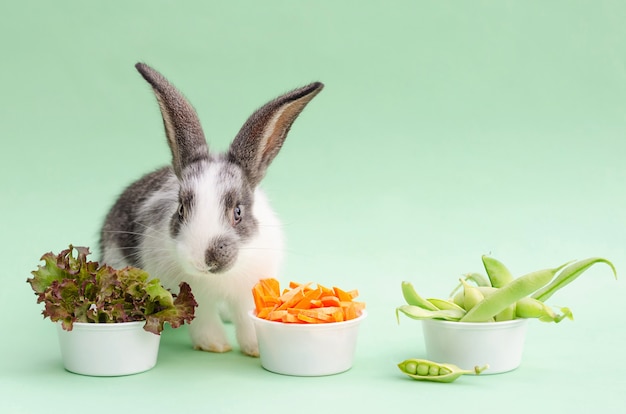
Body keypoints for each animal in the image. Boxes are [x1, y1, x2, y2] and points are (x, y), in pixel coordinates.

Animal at [98, 63, 322, 358]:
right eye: (181, 209)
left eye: (238, 212)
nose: (203, 260)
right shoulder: (193, 296)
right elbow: (203, 317)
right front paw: (215, 345)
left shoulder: (248, 291)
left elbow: (246, 317)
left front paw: (255, 348)